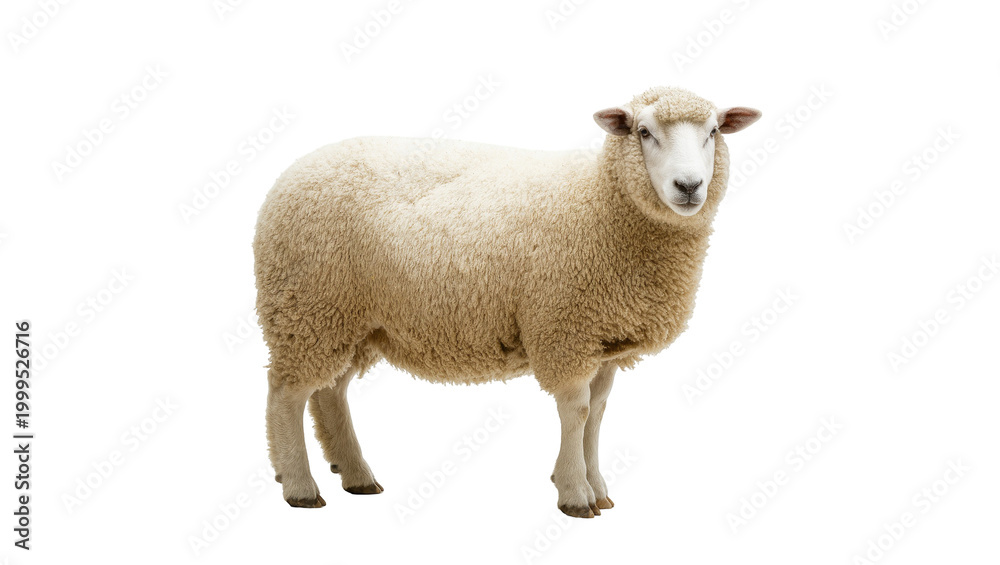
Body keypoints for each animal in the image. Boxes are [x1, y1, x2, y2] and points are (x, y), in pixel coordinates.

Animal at [253, 86, 761, 517]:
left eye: (714, 131)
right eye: (643, 132)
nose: (689, 186)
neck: (602, 202)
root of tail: (291, 172)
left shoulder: (602, 340)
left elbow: (597, 414)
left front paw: (598, 487)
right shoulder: (564, 330)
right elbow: (576, 412)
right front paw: (575, 493)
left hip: (346, 318)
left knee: (329, 391)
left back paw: (356, 474)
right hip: (306, 305)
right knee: (286, 393)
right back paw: (299, 486)